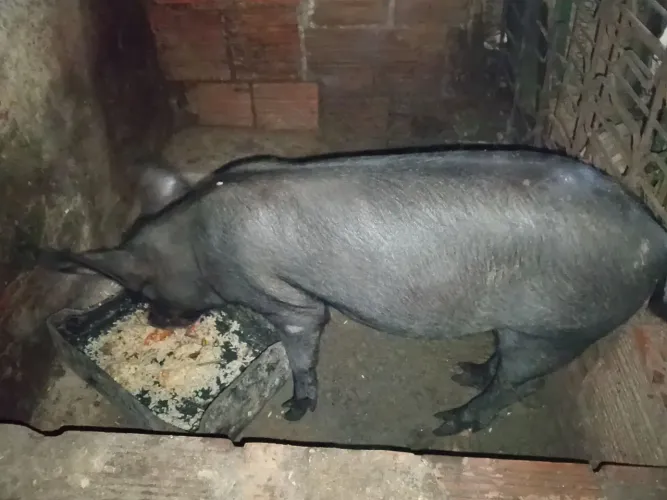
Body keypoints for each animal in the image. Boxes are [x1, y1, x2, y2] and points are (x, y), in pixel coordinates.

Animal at [37, 145, 667, 436]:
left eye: (143, 289)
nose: (158, 322)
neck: (194, 240)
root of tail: (655, 237)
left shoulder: (287, 301)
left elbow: (304, 340)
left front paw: (294, 412)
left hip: (559, 327)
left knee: (520, 385)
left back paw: (447, 420)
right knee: (503, 370)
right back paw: (464, 372)